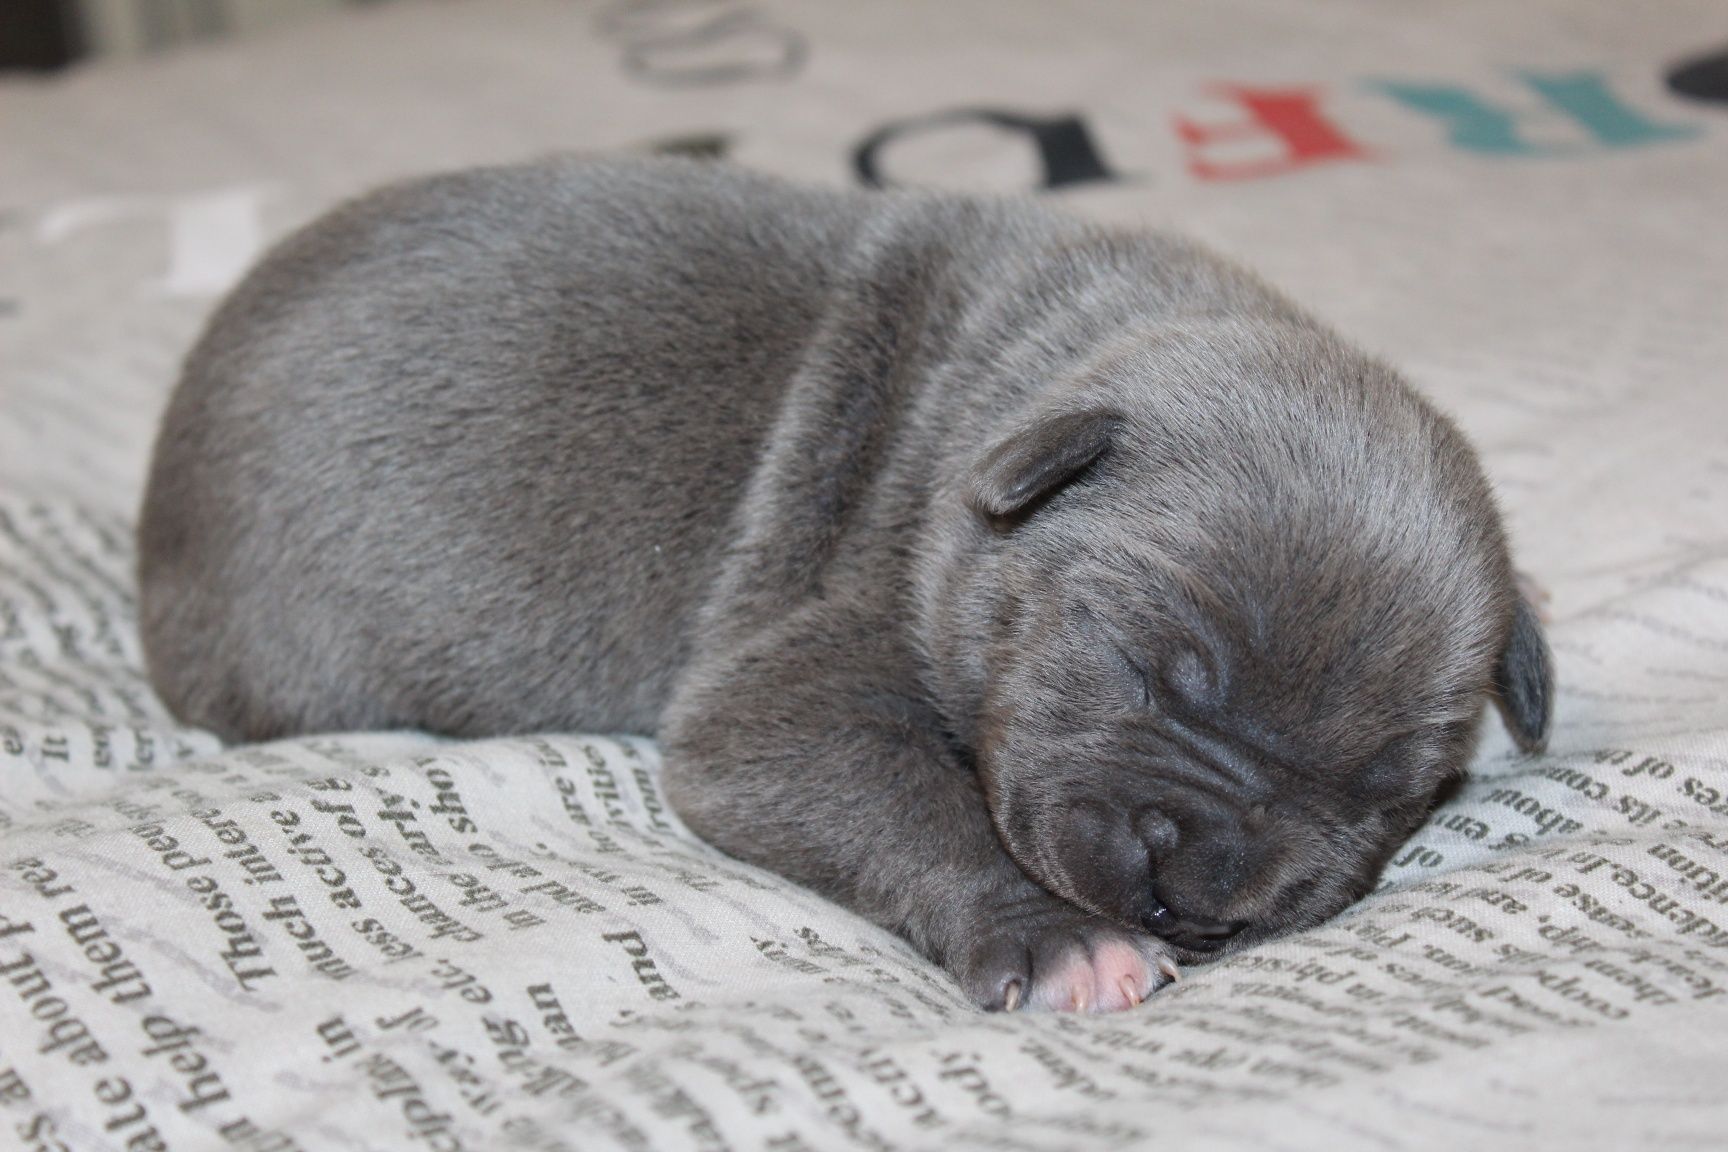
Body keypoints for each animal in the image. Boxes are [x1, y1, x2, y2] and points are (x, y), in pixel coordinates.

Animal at [141, 155, 1562, 1015]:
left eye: (1393, 792)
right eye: (1142, 667)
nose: (1196, 889)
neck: (1005, 390)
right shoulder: (783, 695)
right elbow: (902, 799)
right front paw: (1062, 942)